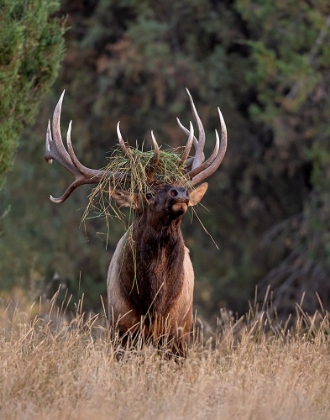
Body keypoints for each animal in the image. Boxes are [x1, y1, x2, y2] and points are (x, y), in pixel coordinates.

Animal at [45, 90, 227, 356]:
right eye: (148, 194)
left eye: (180, 187)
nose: (180, 193)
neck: (153, 304)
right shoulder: (122, 328)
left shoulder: (177, 333)